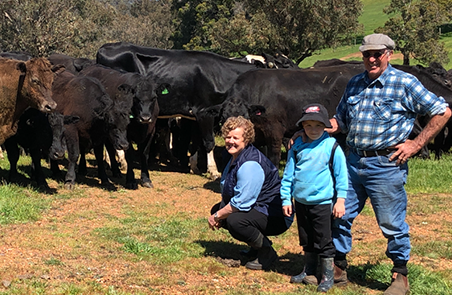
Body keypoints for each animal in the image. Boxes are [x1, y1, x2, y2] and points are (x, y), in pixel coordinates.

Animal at [97, 42, 264, 179]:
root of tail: (105, 47)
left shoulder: (196, 116)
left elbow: (196, 140)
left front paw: (194, 166)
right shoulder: (205, 112)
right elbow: (209, 142)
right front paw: (213, 170)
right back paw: (121, 162)